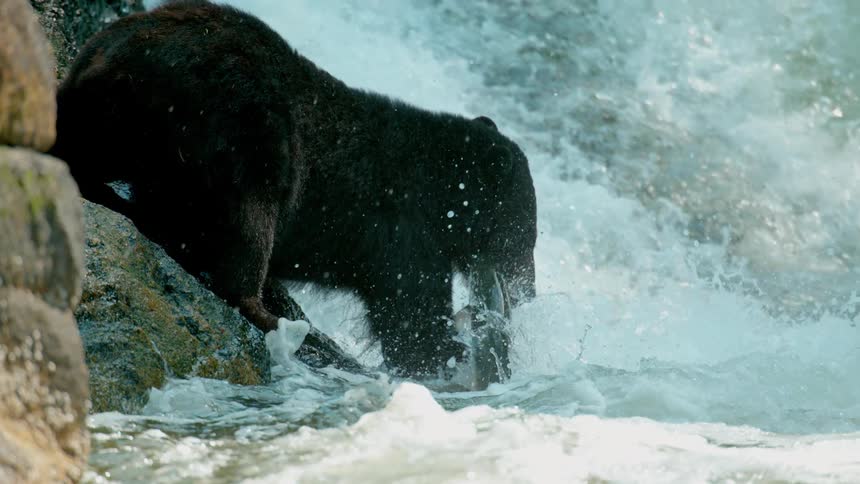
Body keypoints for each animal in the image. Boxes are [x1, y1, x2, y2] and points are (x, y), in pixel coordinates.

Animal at [51, 0, 537, 380]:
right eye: (527, 233)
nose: (528, 292)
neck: (441, 198)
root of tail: (104, 61)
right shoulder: (401, 232)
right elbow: (409, 313)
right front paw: (450, 352)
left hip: (115, 121)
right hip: (239, 129)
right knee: (249, 221)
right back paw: (282, 322)